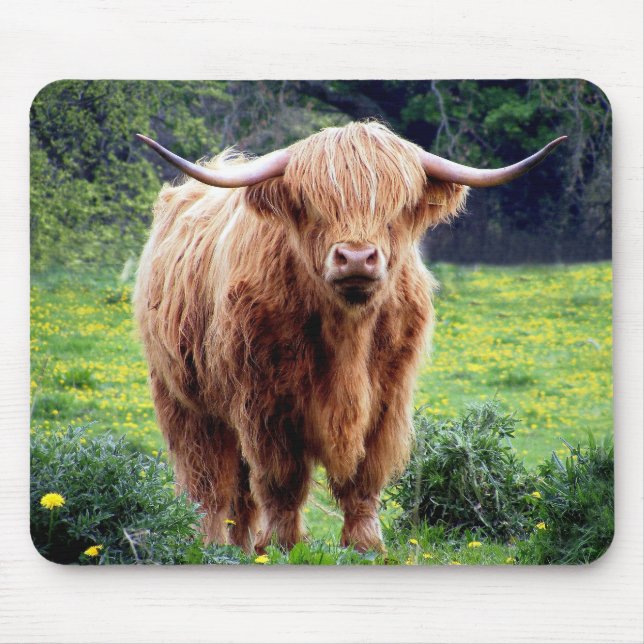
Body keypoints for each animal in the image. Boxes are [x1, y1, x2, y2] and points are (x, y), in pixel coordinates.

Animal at [134, 121, 564, 553]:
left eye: (397, 207)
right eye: (312, 204)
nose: (356, 258)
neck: (347, 337)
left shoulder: (387, 400)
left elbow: (364, 478)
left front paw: (366, 544)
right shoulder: (265, 403)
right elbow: (281, 479)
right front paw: (282, 546)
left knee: (238, 491)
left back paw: (239, 545)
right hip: (184, 401)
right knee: (207, 481)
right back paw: (209, 544)